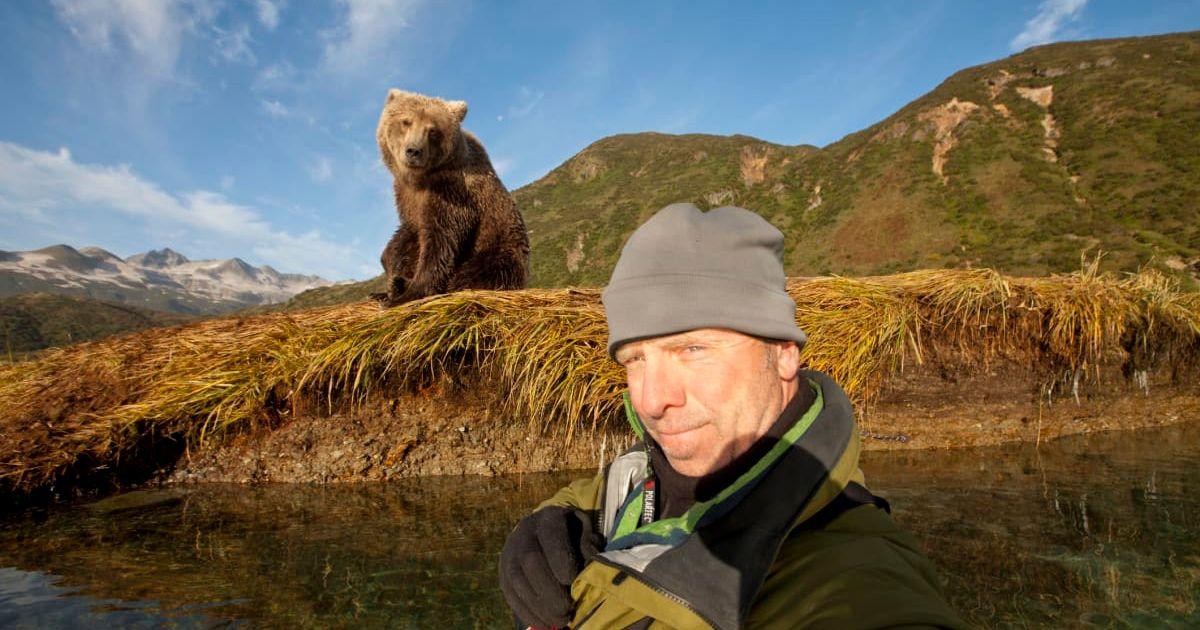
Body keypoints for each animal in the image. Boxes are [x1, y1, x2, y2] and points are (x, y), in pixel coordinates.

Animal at [370, 89, 530, 308]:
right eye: (406, 122)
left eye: (432, 130)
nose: (413, 151)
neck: (420, 179)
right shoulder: (405, 195)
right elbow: (407, 233)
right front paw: (390, 278)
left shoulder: (452, 191)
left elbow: (440, 240)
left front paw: (408, 294)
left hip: (499, 248)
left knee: (479, 272)